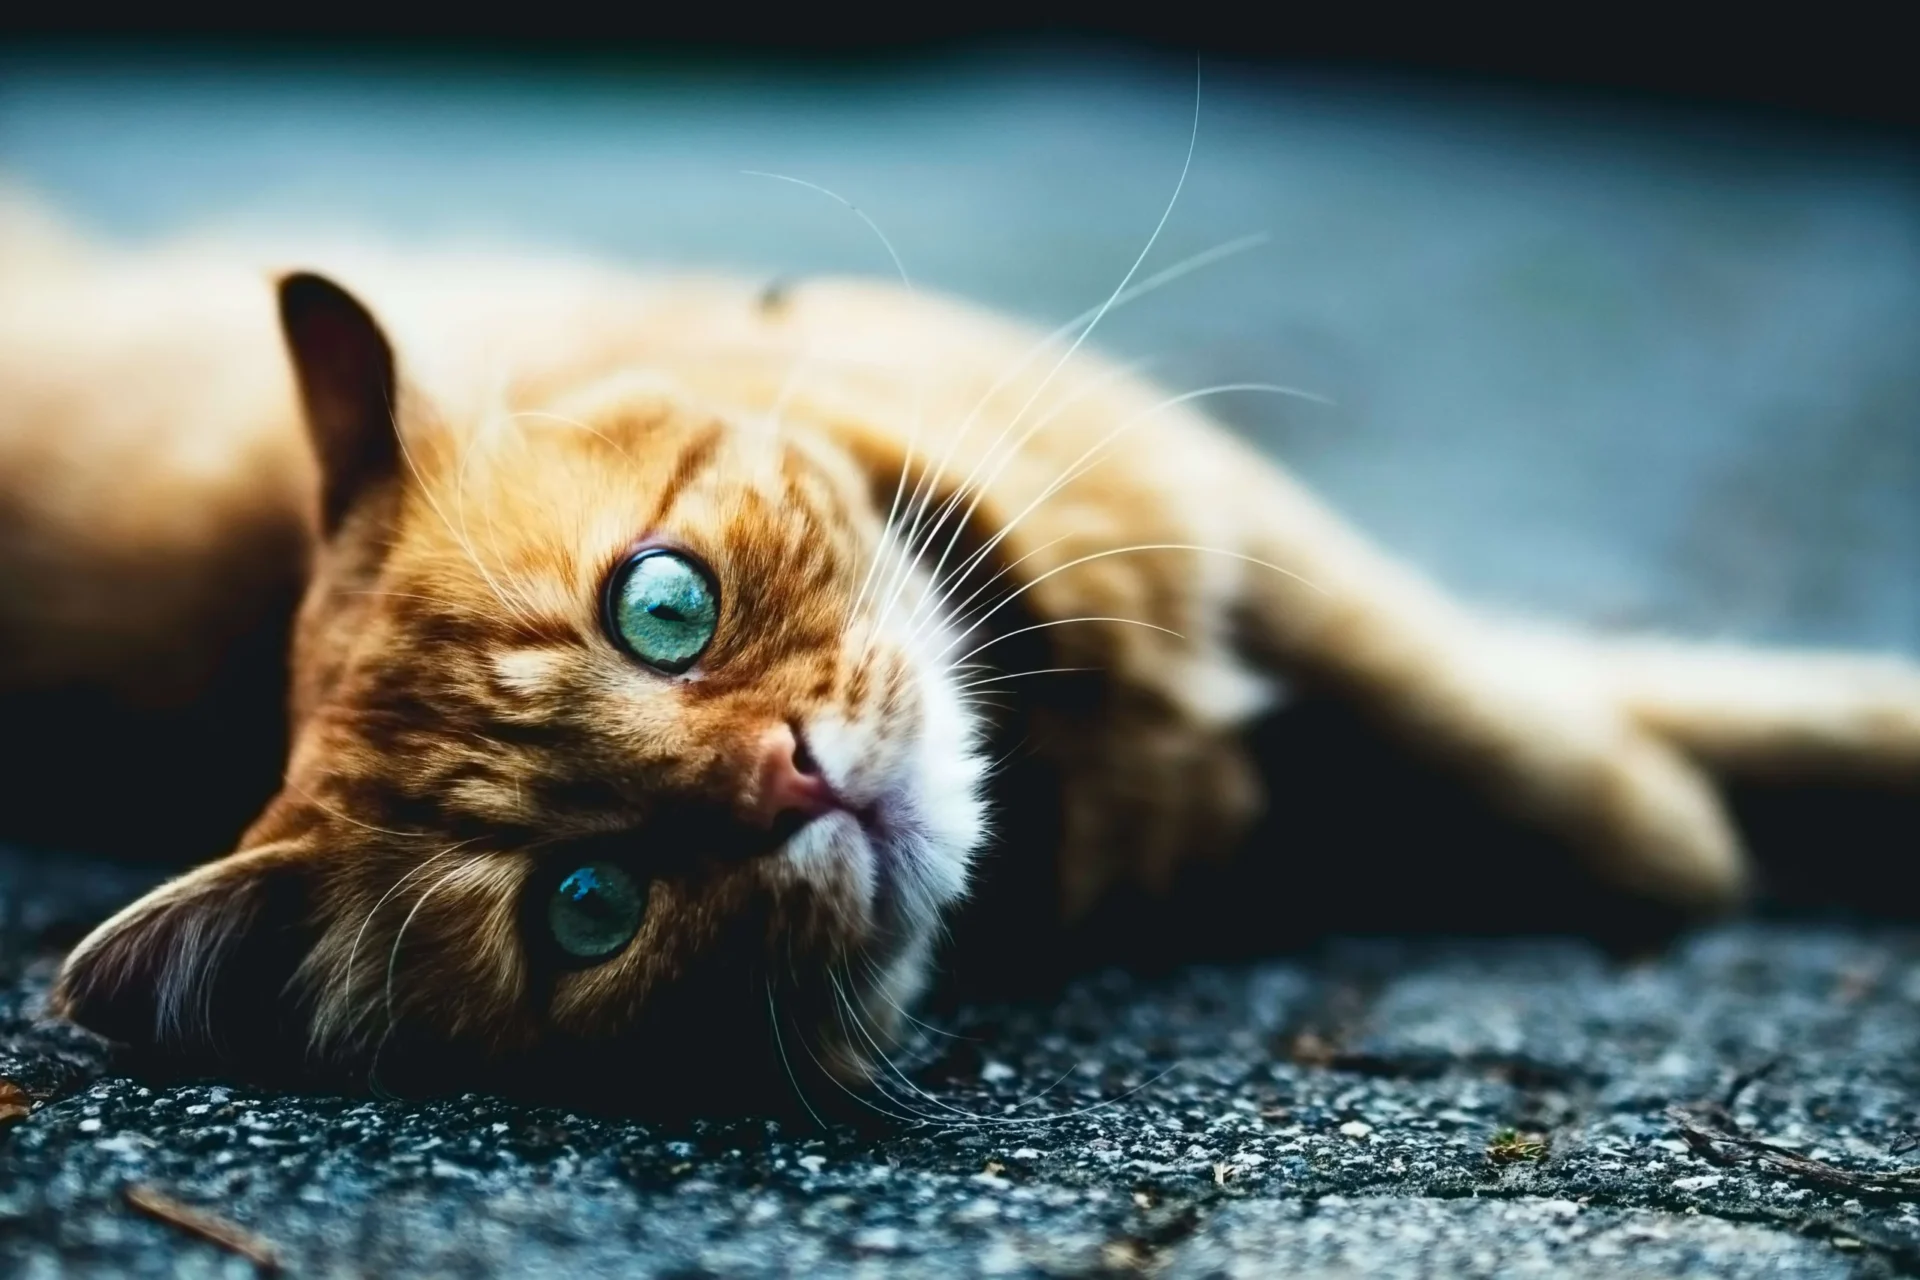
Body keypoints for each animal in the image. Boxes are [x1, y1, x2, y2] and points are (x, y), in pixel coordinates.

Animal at [11, 195, 1920, 1113]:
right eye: (588, 907)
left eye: (663, 604)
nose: (793, 781)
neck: (1084, 756)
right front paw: (1691, 835)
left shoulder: (1232, 521)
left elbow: (1511, 706)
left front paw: (1668, 830)